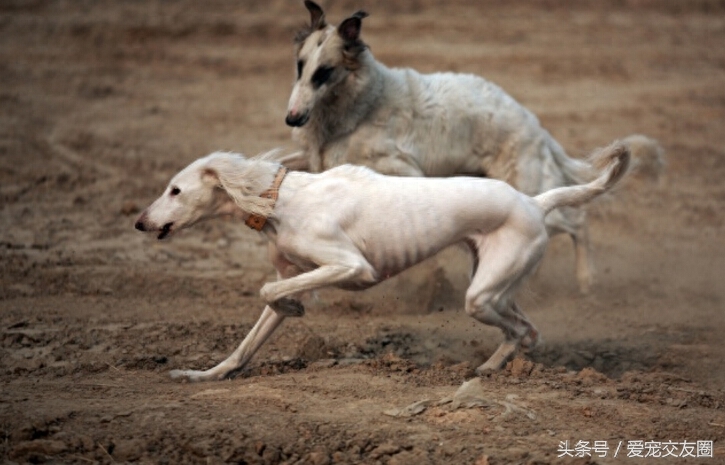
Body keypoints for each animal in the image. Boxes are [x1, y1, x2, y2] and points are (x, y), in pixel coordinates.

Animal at [134, 143, 628, 382]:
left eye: (175, 190)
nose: (140, 222)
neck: (280, 199)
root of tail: (534, 201)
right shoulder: (295, 274)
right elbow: (246, 342)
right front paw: (204, 374)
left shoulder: (353, 268)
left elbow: (270, 292)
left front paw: (294, 306)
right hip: (493, 286)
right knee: (526, 328)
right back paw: (493, 367)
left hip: (482, 295)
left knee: (522, 331)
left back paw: (492, 369)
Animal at [282, 0, 660, 290]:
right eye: (299, 66)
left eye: (324, 72)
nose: (292, 118)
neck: (365, 103)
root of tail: (536, 125)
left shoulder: (403, 170)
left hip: (529, 190)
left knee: (578, 221)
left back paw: (586, 282)